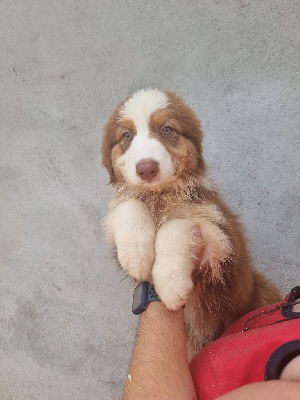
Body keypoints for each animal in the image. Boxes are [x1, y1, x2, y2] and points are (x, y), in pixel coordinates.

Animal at [101, 89, 282, 358]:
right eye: (127, 136)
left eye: (167, 130)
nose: (146, 168)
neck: (161, 197)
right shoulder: (125, 207)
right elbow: (129, 206)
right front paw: (136, 254)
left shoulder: (222, 240)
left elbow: (177, 224)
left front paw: (170, 282)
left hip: (262, 293)